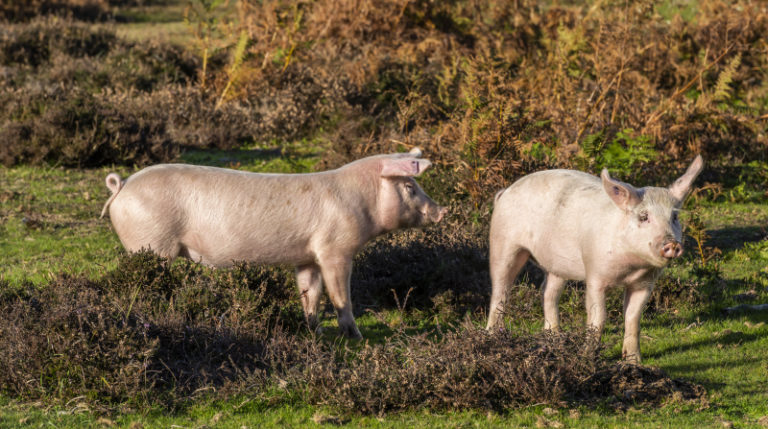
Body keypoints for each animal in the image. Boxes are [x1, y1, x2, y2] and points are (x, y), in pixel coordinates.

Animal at [103, 149, 450, 340]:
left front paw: (315, 331)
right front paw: (356, 336)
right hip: (151, 244)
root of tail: (122, 186)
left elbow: (310, 292)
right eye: (410, 187)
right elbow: (341, 295)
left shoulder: (307, 256)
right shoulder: (335, 249)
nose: (442, 210)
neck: (362, 200)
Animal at [488, 155, 704, 362]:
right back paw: (492, 337)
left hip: (557, 265)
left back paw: (555, 337)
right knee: (500, 292)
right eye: (643, 217)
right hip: (503, 243)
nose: (672, 244)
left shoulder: (645, 283)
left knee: (547, 292)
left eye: (674, 218)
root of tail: (505, 193)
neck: (631, 267)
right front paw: (587, 357)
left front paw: (633, 362)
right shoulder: (594, 273)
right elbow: (598, 317)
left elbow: (633, 318)